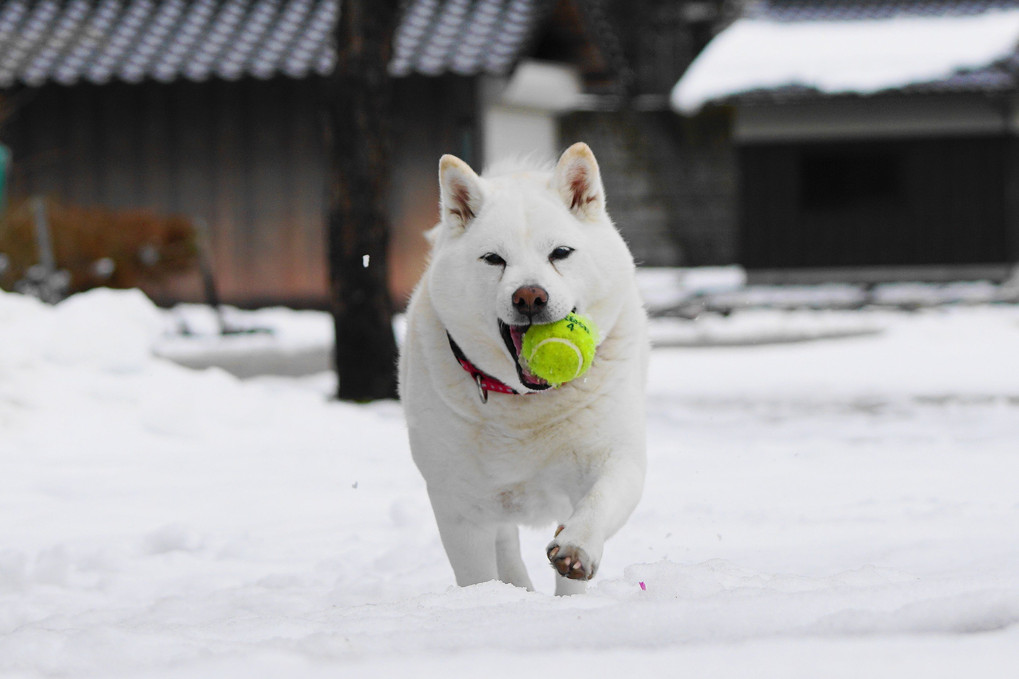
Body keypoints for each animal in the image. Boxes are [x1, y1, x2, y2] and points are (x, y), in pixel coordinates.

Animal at [397, 141, 644, 591]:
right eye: (494, 259)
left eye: (560, 252)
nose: (529, 296)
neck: (527, 406)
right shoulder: (458, 505)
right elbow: (478, 575)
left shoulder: (618, 457)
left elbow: (599, 501)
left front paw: (576, 548)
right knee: (506, 549)